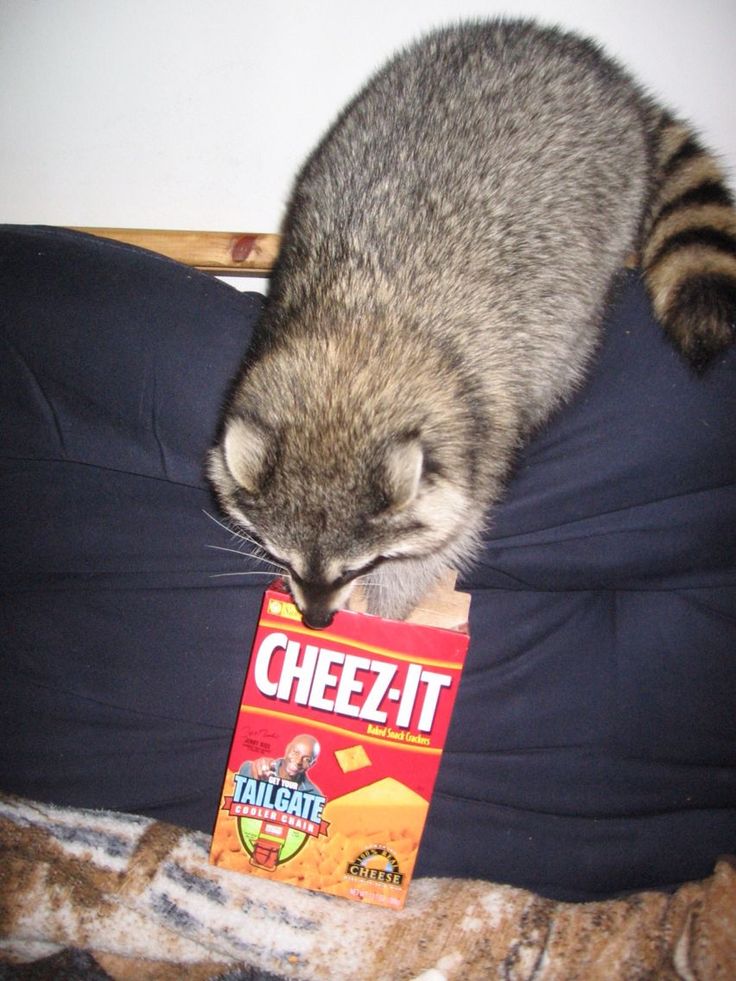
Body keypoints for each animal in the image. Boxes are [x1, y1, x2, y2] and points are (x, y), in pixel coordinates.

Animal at [208, 19, 736, 628]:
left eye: (359, 566)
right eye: (287, 559)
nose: (316, 621)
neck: (356, 342)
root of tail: (595, 65)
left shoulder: (480, 422)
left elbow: (449, 535)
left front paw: (390, 609)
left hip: (609, 200)